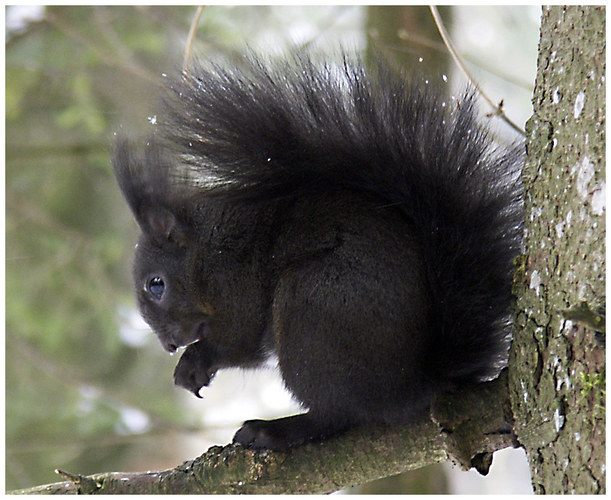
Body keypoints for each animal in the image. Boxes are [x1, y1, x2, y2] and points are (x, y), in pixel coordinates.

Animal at [112, 52, 524, 452]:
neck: (205, 247)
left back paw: (275, 430)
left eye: (156, 284)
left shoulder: (235, 282)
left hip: (310, 309)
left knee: (340, 414)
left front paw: (195, 361)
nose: (168, 344)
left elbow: (240, 343)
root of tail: (417, 383)